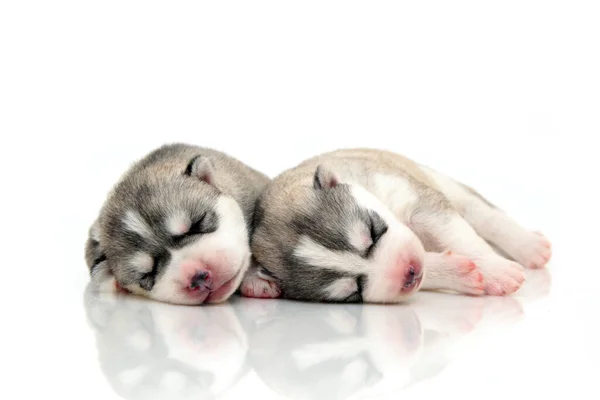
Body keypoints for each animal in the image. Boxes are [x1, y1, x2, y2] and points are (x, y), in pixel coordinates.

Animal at [245, 148, 552, 304]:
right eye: (354, 291)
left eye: (372, 231)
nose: (410, 273)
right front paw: (460, 272)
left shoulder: (420, 204)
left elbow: (462, 237)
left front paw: (497, 271)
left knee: (484, 214)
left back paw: (530, 246)